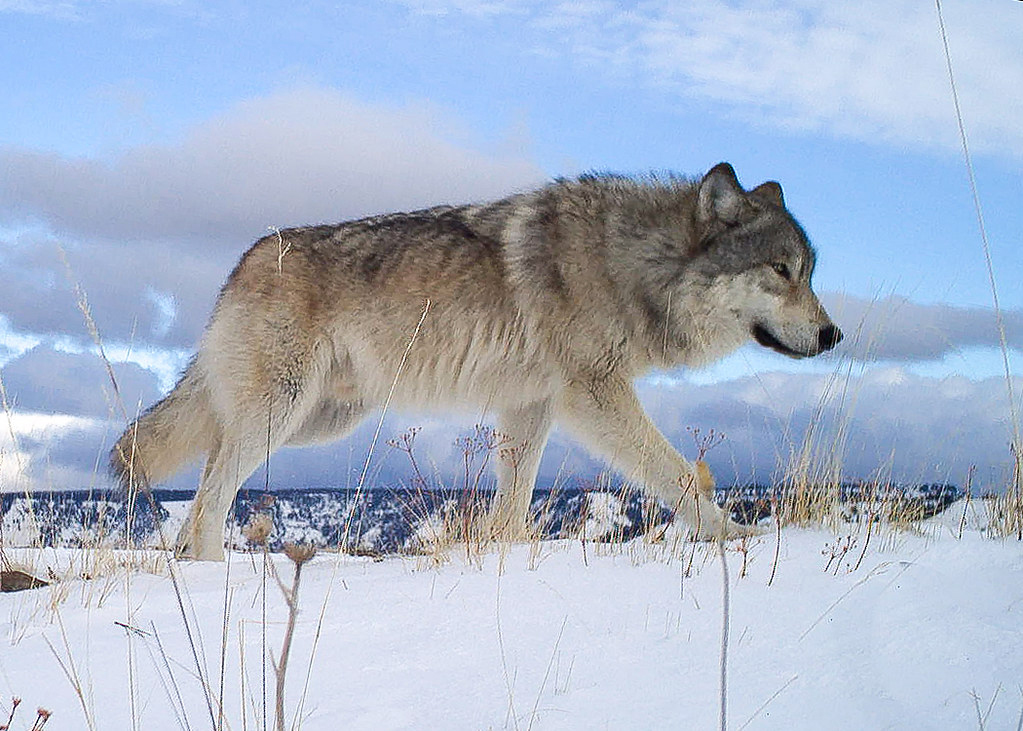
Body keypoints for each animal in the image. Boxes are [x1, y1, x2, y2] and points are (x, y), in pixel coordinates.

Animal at [112, 164, 842, 560]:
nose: (833, 334)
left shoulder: (532, 407)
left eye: (809, 273)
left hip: (312, 420)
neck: (633, 260)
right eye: (781, 271)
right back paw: (211, 575)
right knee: (211, 495)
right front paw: (733, 536)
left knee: (205, 476)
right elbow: (681, 475)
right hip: (282, 414)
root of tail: (245, 258)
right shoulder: (594, 395)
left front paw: (504, 560)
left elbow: (513, 506)